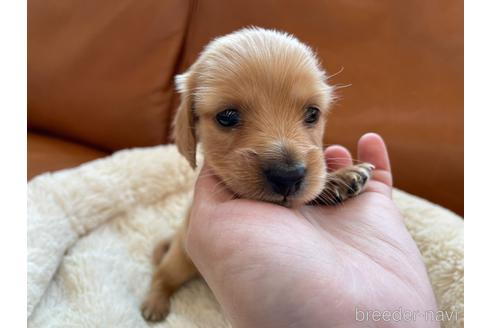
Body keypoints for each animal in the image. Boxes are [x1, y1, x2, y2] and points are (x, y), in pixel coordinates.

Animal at [140, 27, 370, 320]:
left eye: (312, 113)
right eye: (227, 116)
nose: (288, 176)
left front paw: (341, 178)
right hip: (181, 259)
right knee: (163, 274)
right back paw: (154, 303)